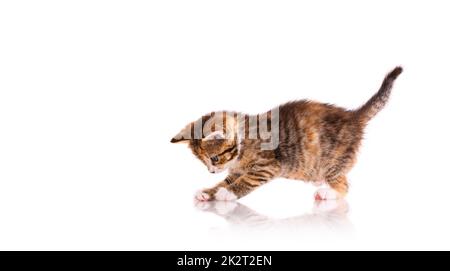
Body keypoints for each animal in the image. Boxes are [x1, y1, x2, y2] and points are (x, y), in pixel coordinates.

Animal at [171, 66, 402, 201]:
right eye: (205, 162)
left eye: (214, 158)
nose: (211, 171)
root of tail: (353, 116)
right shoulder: (235, 170)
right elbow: (225, 180)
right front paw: (209, 191)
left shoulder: (267, 166)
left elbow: (246, 181)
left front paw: (227, 193)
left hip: (333, 159)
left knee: (344, 184)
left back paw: (328, 191)